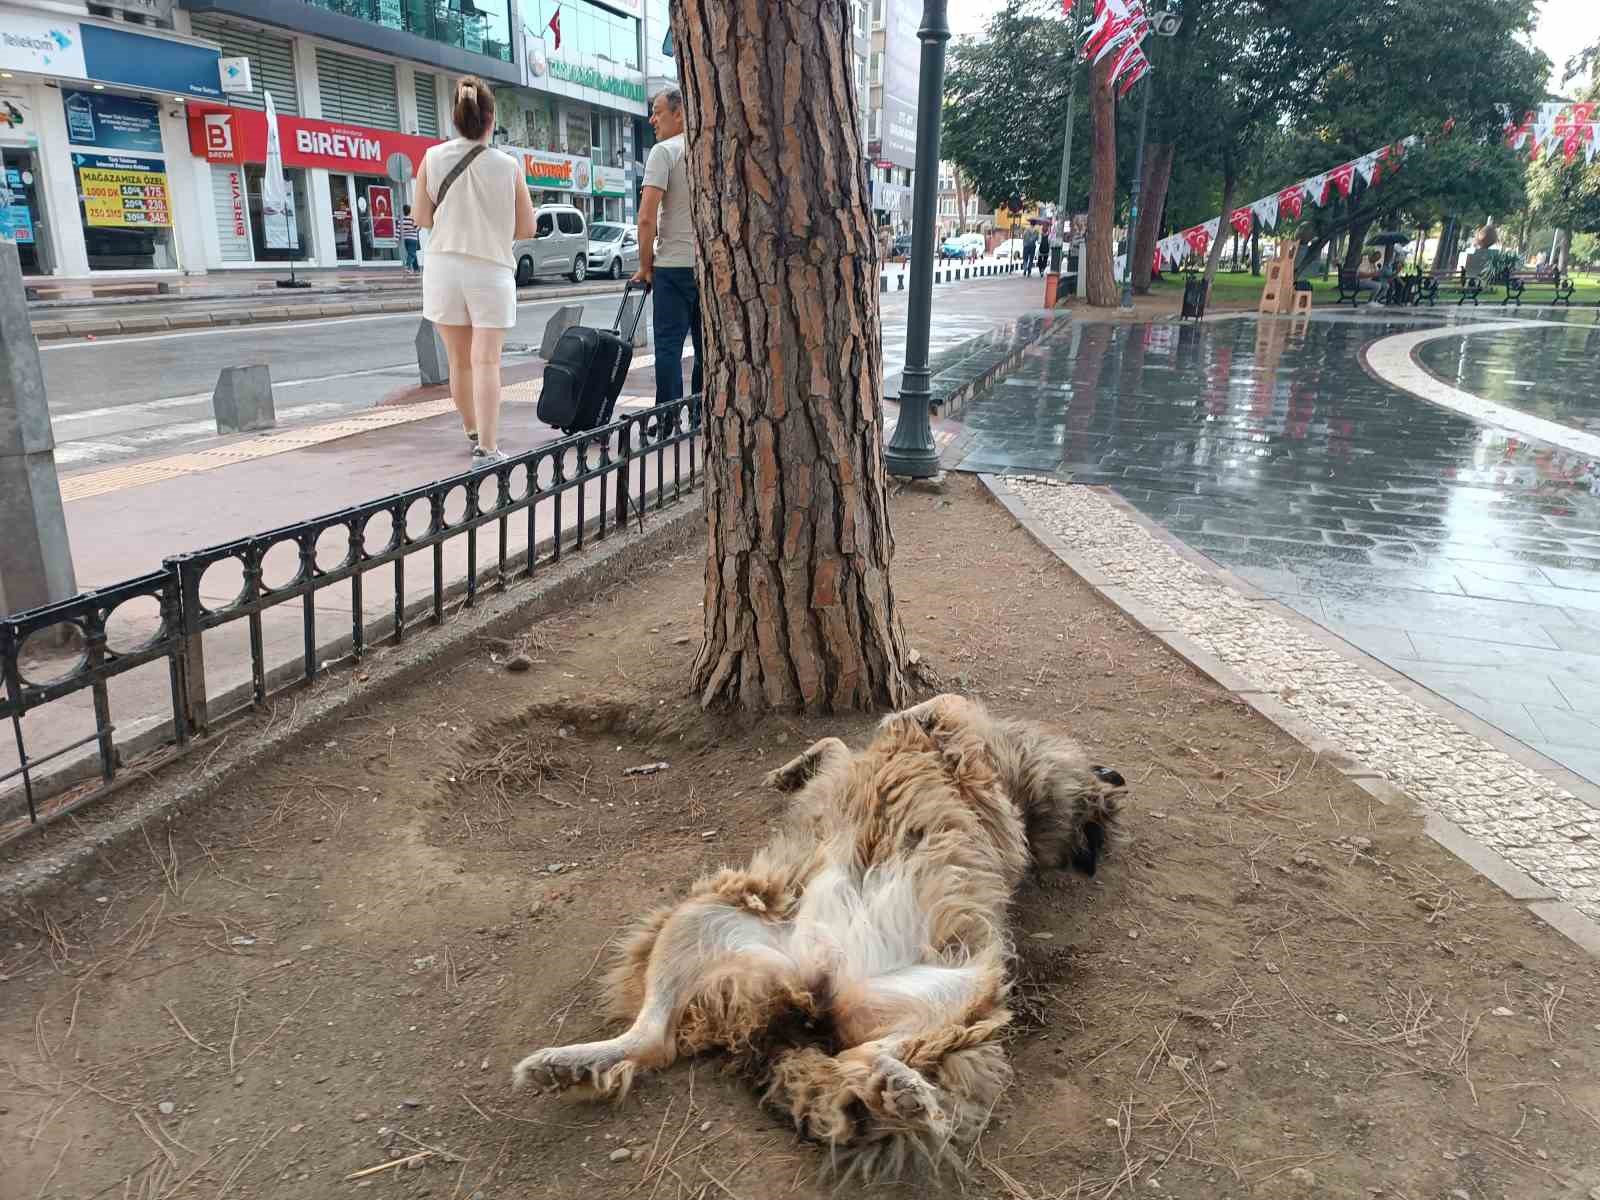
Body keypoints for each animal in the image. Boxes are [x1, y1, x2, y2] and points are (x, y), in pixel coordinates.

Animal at [512, 694, 1126, 1184]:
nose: (1112, 775)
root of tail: (810, 987)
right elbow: (853, 738)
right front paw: (799, 765)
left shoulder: (959, 734)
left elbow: (926, 706)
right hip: (706, 917)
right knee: (668, 1038)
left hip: (950, 988)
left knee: (860, 1058)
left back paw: (904, 1092)